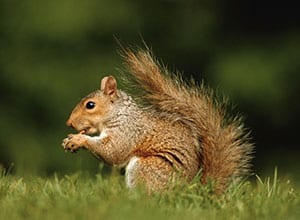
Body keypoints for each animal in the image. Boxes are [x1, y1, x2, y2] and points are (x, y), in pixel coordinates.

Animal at [61, 48, 253, 192]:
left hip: (147, 167)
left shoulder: (128, 131)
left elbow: (113, 151)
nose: (69, 123)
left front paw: (78, 140)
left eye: (90, 105)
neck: (119, 113)